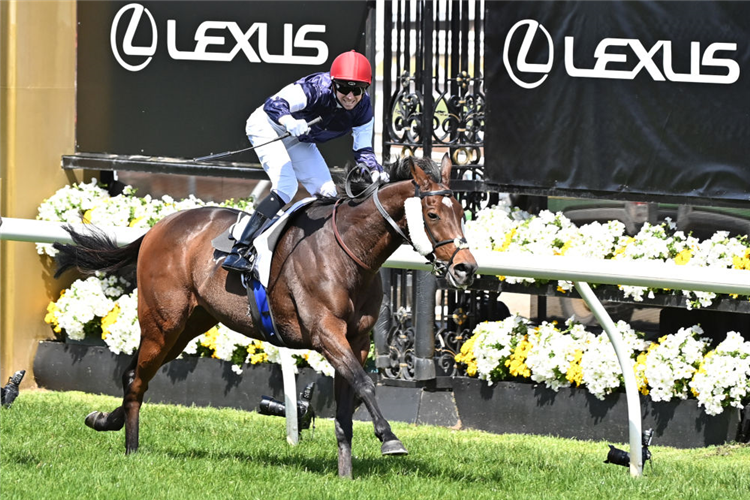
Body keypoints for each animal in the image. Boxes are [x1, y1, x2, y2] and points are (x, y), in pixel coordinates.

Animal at [53, 154, 478, 478]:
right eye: (433, 213)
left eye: (461, 212)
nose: (466, 268)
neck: (348, 252)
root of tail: (160, 226)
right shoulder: (326, 333)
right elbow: (366, 385)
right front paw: (390, 439)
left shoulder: (355, 341)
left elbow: (349, 403)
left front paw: (345, 474)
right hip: (163, 322)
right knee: (137, 378)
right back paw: (131, 447)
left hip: (189, 326)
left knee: (135, 374)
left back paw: (105, 421)